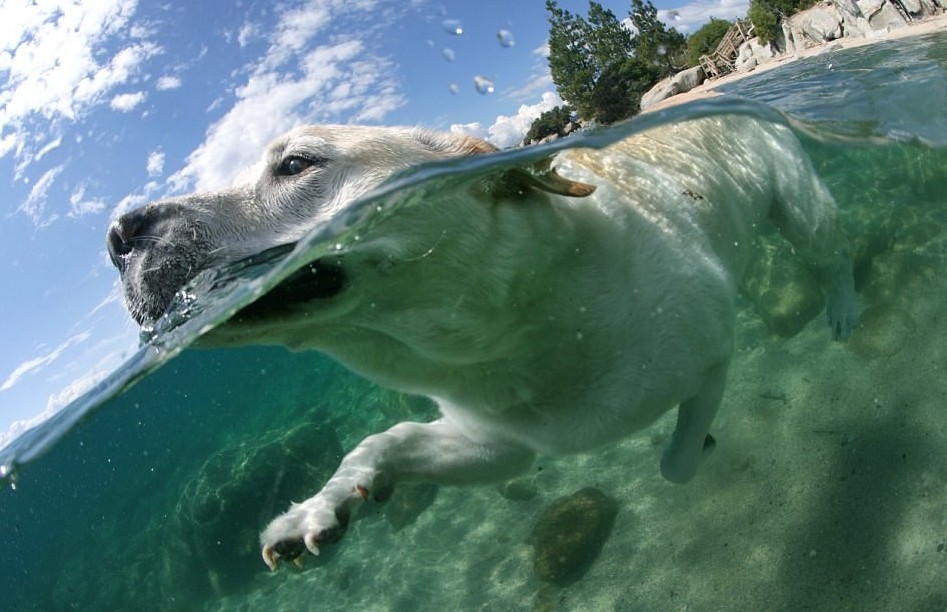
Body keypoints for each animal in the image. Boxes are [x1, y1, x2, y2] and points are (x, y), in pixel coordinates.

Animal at [107, 115, 856, 568]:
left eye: (296, 164)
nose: (116, 236)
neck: (508, 331)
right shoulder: (498, 442)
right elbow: (385, 442)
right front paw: (324, 505)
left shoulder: (712, 354)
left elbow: (676, 460)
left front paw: (695, 445)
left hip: (800, 208)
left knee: (829, 249)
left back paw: (843, 306)